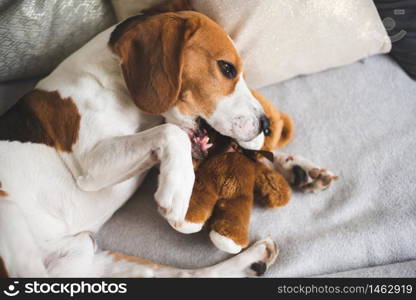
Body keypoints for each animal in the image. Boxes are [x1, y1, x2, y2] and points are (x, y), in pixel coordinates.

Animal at [0, 8, 334, 278]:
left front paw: (299, 168)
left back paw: (251, 260)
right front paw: (177, 192)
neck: (112, 81)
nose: (266, 124)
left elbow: (249, 150)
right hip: (10, 213)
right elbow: (172, 134)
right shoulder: (90, 165)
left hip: (90, 259)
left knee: (187, 276)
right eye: (227, 68)